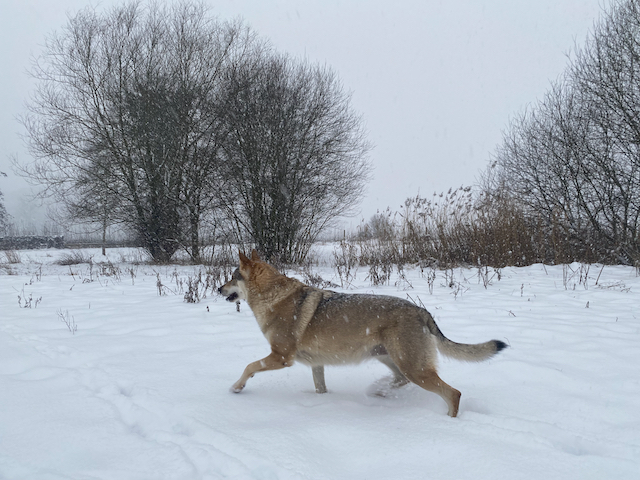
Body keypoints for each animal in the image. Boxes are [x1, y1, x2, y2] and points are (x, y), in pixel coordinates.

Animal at [220, 249, 504, 418]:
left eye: (232, 277)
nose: (218, 289)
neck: (273, 297)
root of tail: (422, 311)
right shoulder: (316, 364)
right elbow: (320, 389)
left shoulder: (281, 357)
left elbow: (249, 366)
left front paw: (236, 387)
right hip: (390, 359)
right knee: (400, 380)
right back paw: (379, 391)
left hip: (414, 367)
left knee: (452, 393)